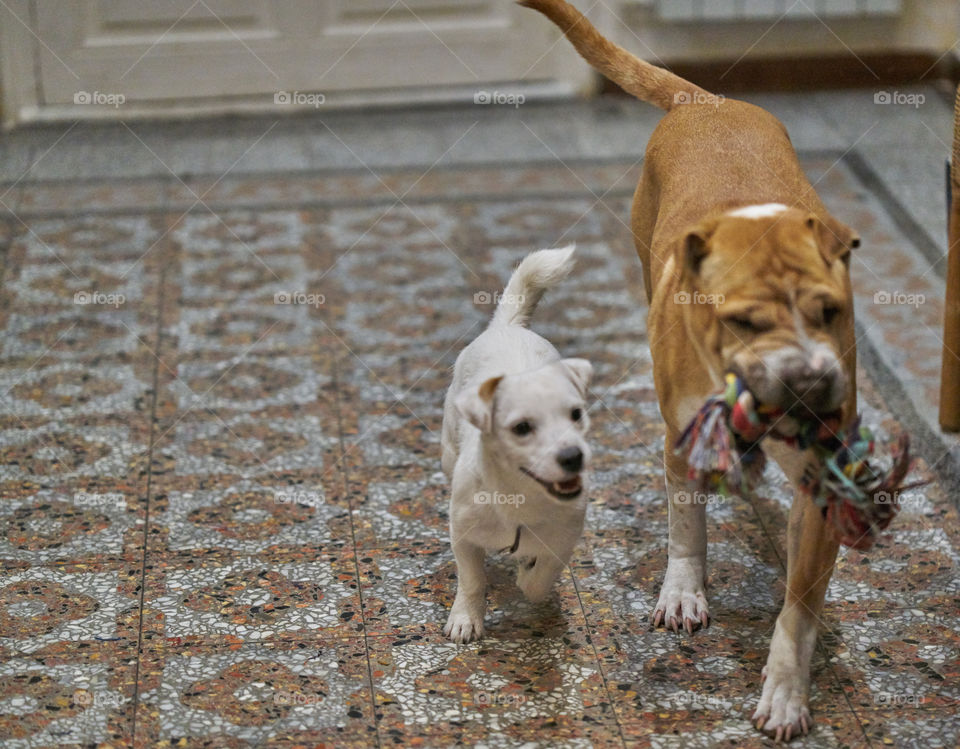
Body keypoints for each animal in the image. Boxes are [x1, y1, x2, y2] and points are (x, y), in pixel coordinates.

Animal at [442, 245, 592, 644]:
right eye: (522, 428)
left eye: (576, 414)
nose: (573, 457)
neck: (519, 495)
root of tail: (506, 326)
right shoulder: (463, 536)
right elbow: (472, 580)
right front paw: (466, 618)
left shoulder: (564, 536)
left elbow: (541, 578)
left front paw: (529, 576)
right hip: (447, 451)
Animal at [524, 0, 864, 736]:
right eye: (743, 319)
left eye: (829, 310)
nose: (806, 389)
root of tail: (703, 100)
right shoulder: (681, 436)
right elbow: (686, 525)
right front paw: (683, 590)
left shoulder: (820, 477)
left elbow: (799, 605)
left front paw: (786, 690)